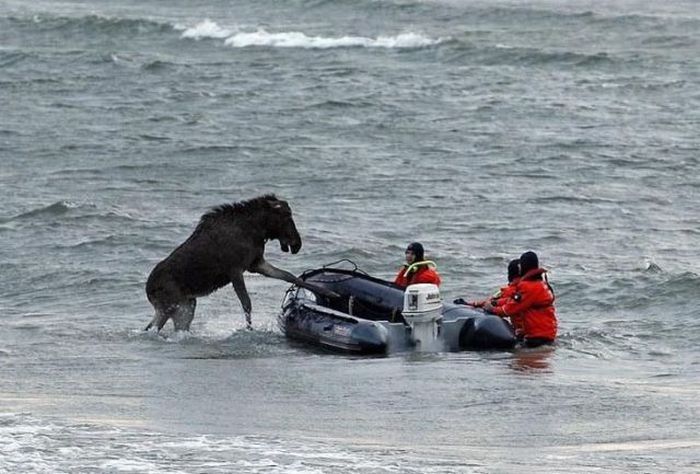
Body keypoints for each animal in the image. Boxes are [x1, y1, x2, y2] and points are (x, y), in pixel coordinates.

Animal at [144, 194, 330, 332]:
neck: (258, 229)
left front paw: (328, 293)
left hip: (185, 304)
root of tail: (148, 290)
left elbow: (289, 276)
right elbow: (246, 303)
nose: (297, 244)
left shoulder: (256, 264)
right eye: (286, 216)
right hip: (174, 307)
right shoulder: (235, 269)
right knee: (155, 328)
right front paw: (249, 329)